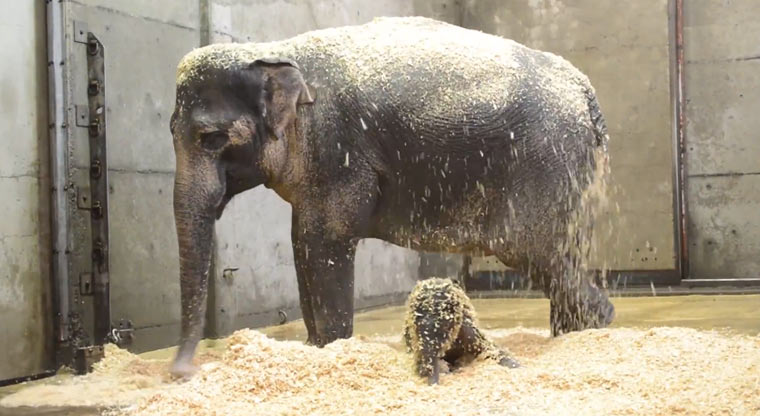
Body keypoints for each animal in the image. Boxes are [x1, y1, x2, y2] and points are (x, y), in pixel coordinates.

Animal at [168, 16, 615, 378]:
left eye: (212, 139)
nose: (181, 372)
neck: (272, 50)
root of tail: (585, 88)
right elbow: (302, 243)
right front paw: (314, 349)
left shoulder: (336, 150)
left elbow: (324, 243)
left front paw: (332, 349)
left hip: (545, 169)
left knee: (542, 258)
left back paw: (582, 336)